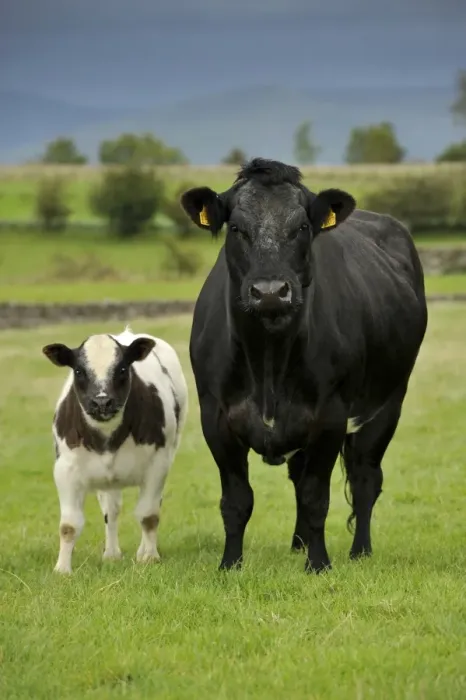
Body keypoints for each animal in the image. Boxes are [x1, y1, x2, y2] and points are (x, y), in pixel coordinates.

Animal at [42, 326, 188, 574]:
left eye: (122, 368)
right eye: (79, 371)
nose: (102, 402)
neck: (107, 437)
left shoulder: (158, 464)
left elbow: (148, 515)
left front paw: (149, 557)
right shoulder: (65, 469)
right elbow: (69, 525)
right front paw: (62, 569)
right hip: (106, 480)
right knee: (112, 510)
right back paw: (111, 554)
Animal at [180, 157, 427, 574]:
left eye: (302, 227)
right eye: (236, 228)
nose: (269, 292)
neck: (268, 359)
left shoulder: (330, 416)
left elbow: (316, 497)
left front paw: (319, 564)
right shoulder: (215, 416)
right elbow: (237, 500)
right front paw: (230, 564)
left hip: (389, 403)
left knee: (365, 478)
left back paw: (359, 551)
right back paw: (297, 544)